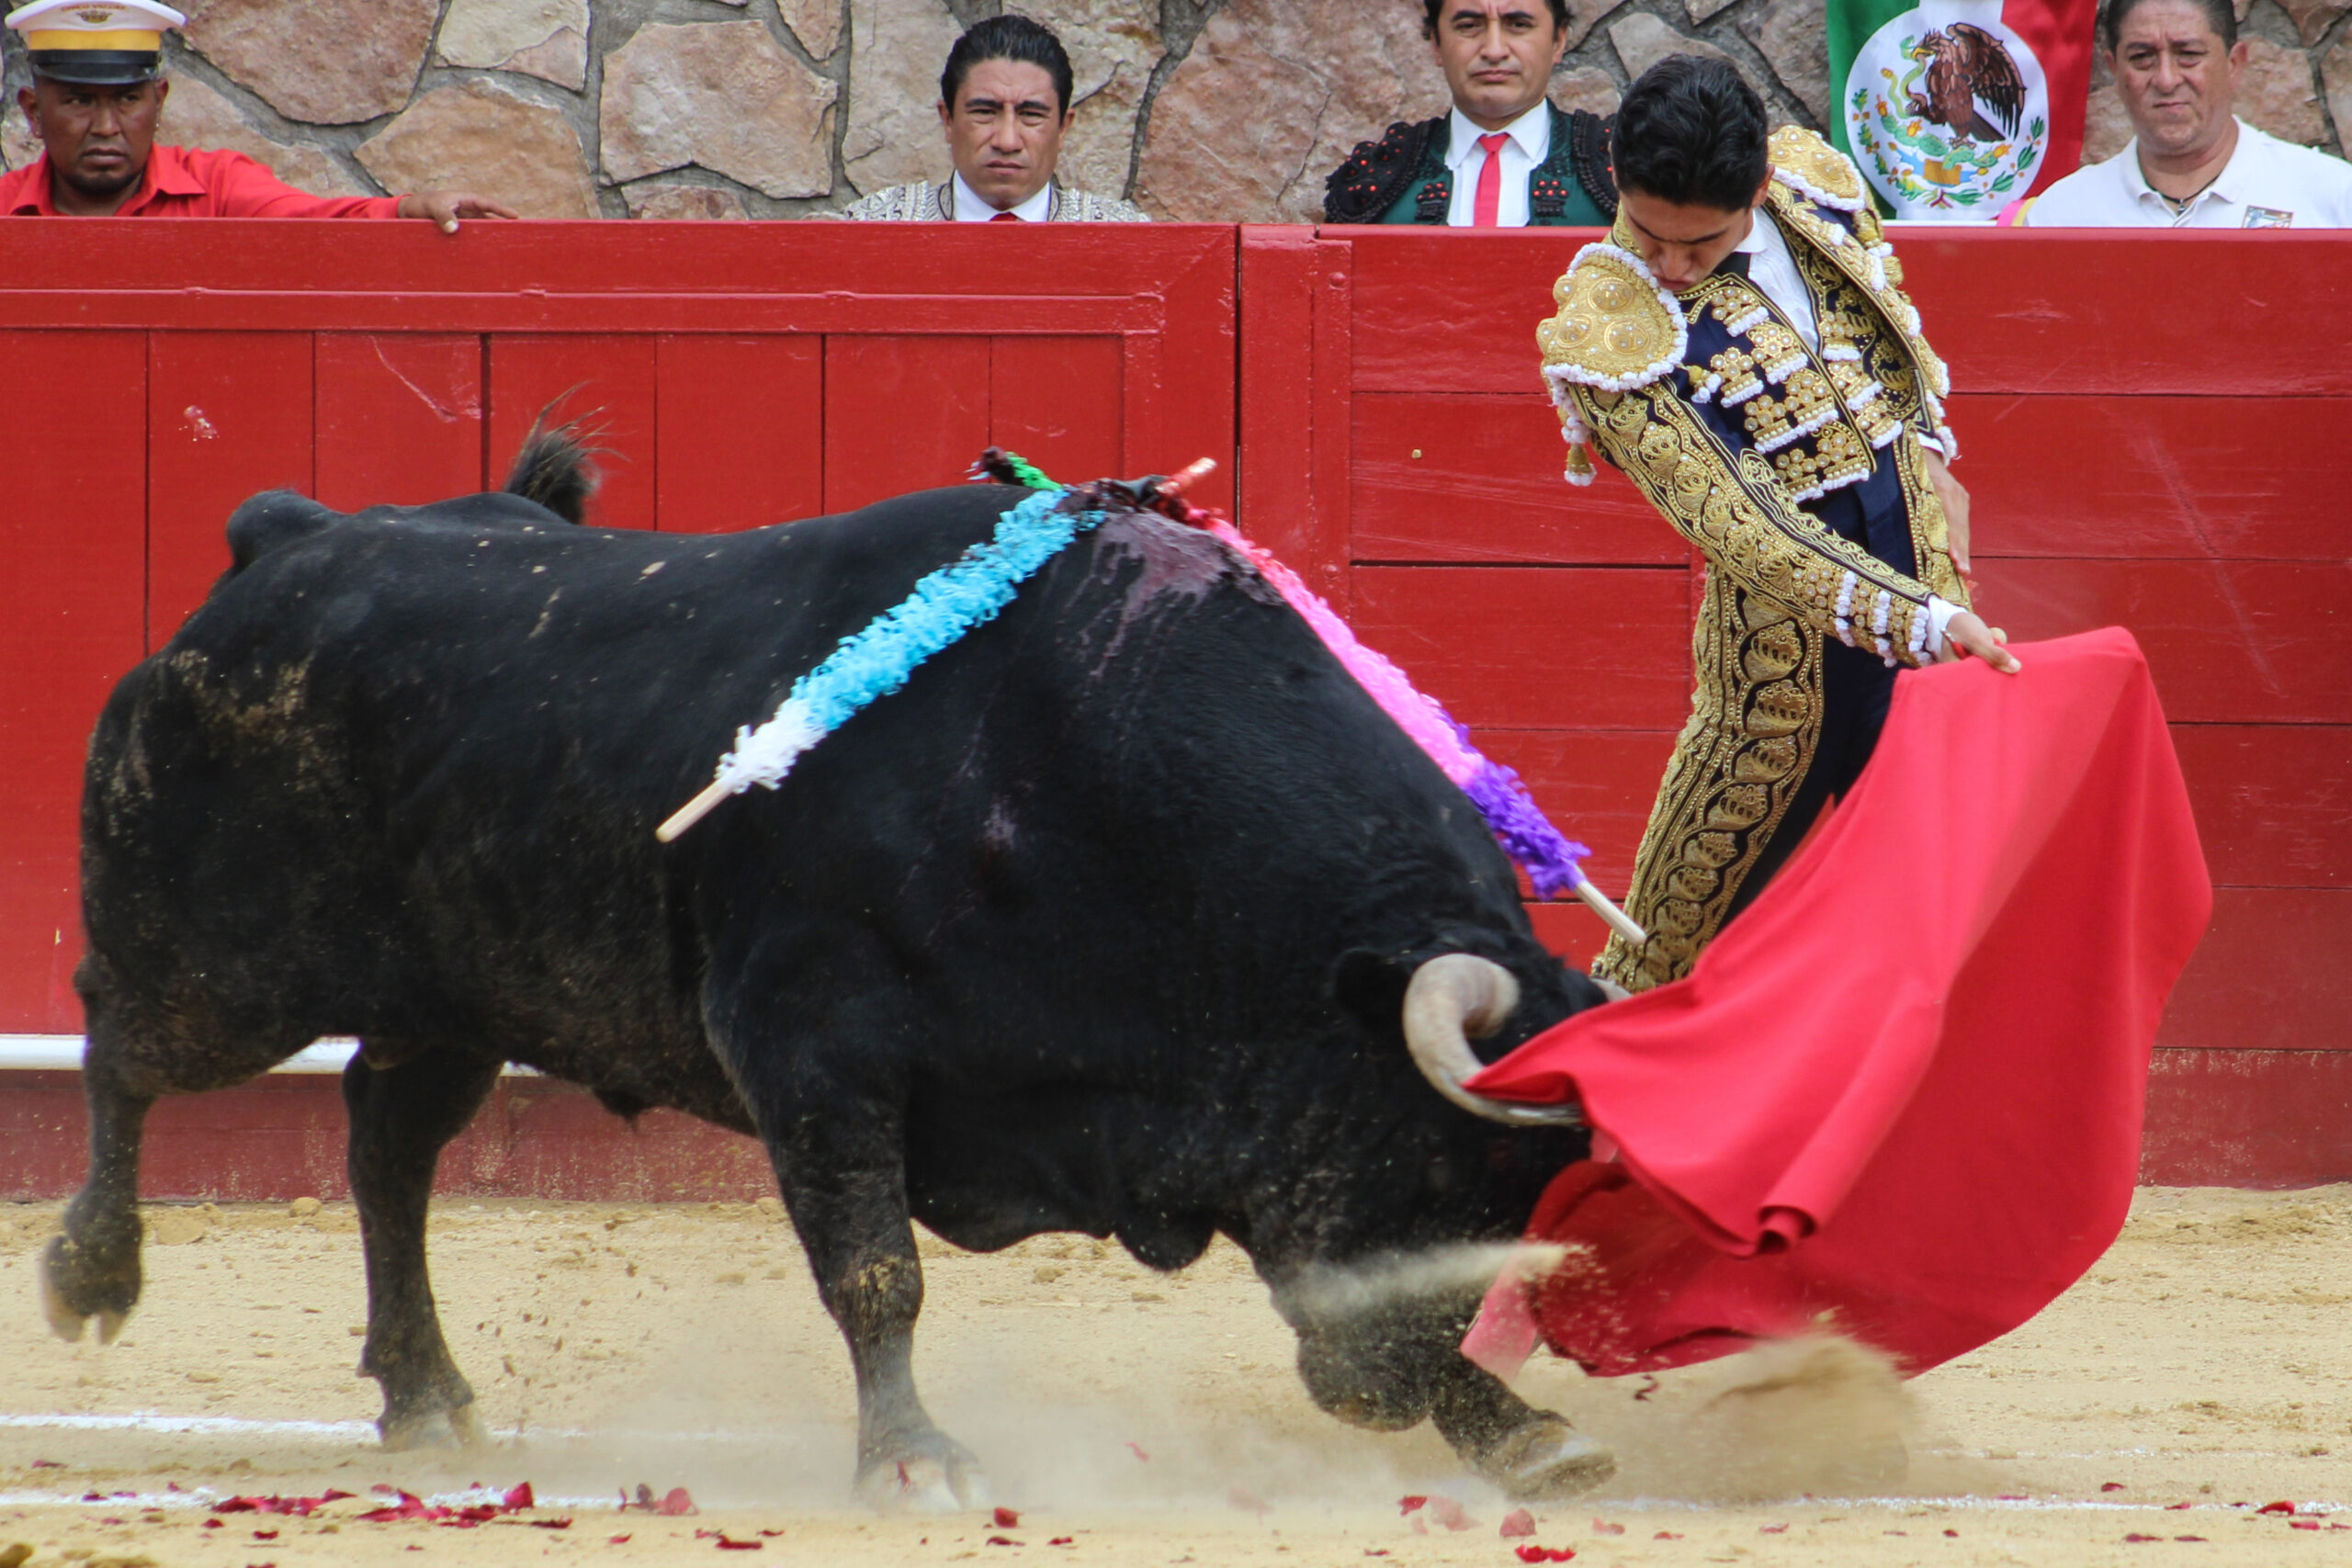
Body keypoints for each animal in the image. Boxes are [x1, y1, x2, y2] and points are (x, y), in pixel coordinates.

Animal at [41, 446, 1618, 1504]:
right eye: (1433, 1157)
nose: (1389, 1385)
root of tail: (283, 543)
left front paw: (1525, 1430)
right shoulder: (815, 1054)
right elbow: (876, 1273)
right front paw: (917, 1461)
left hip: (456, 999)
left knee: (385, 1144)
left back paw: (427, 1395)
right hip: (222, 968)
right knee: (122, 1047)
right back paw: (88, 1270)